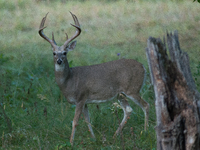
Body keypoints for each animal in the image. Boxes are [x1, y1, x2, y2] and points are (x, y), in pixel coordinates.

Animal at [38, 11, 149, 145]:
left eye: (65, 52)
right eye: (54, 53)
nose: (59, 61)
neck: (69, 81)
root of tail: (143, 66)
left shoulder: (80, 97)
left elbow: (75, 121)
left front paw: (71, 143)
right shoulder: (85, 101)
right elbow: (87, 120)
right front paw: (94, 139)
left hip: (132, 88)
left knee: (146, 105)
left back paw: (145, 131)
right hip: (120, 94)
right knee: (128, 110)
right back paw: (115, 135)